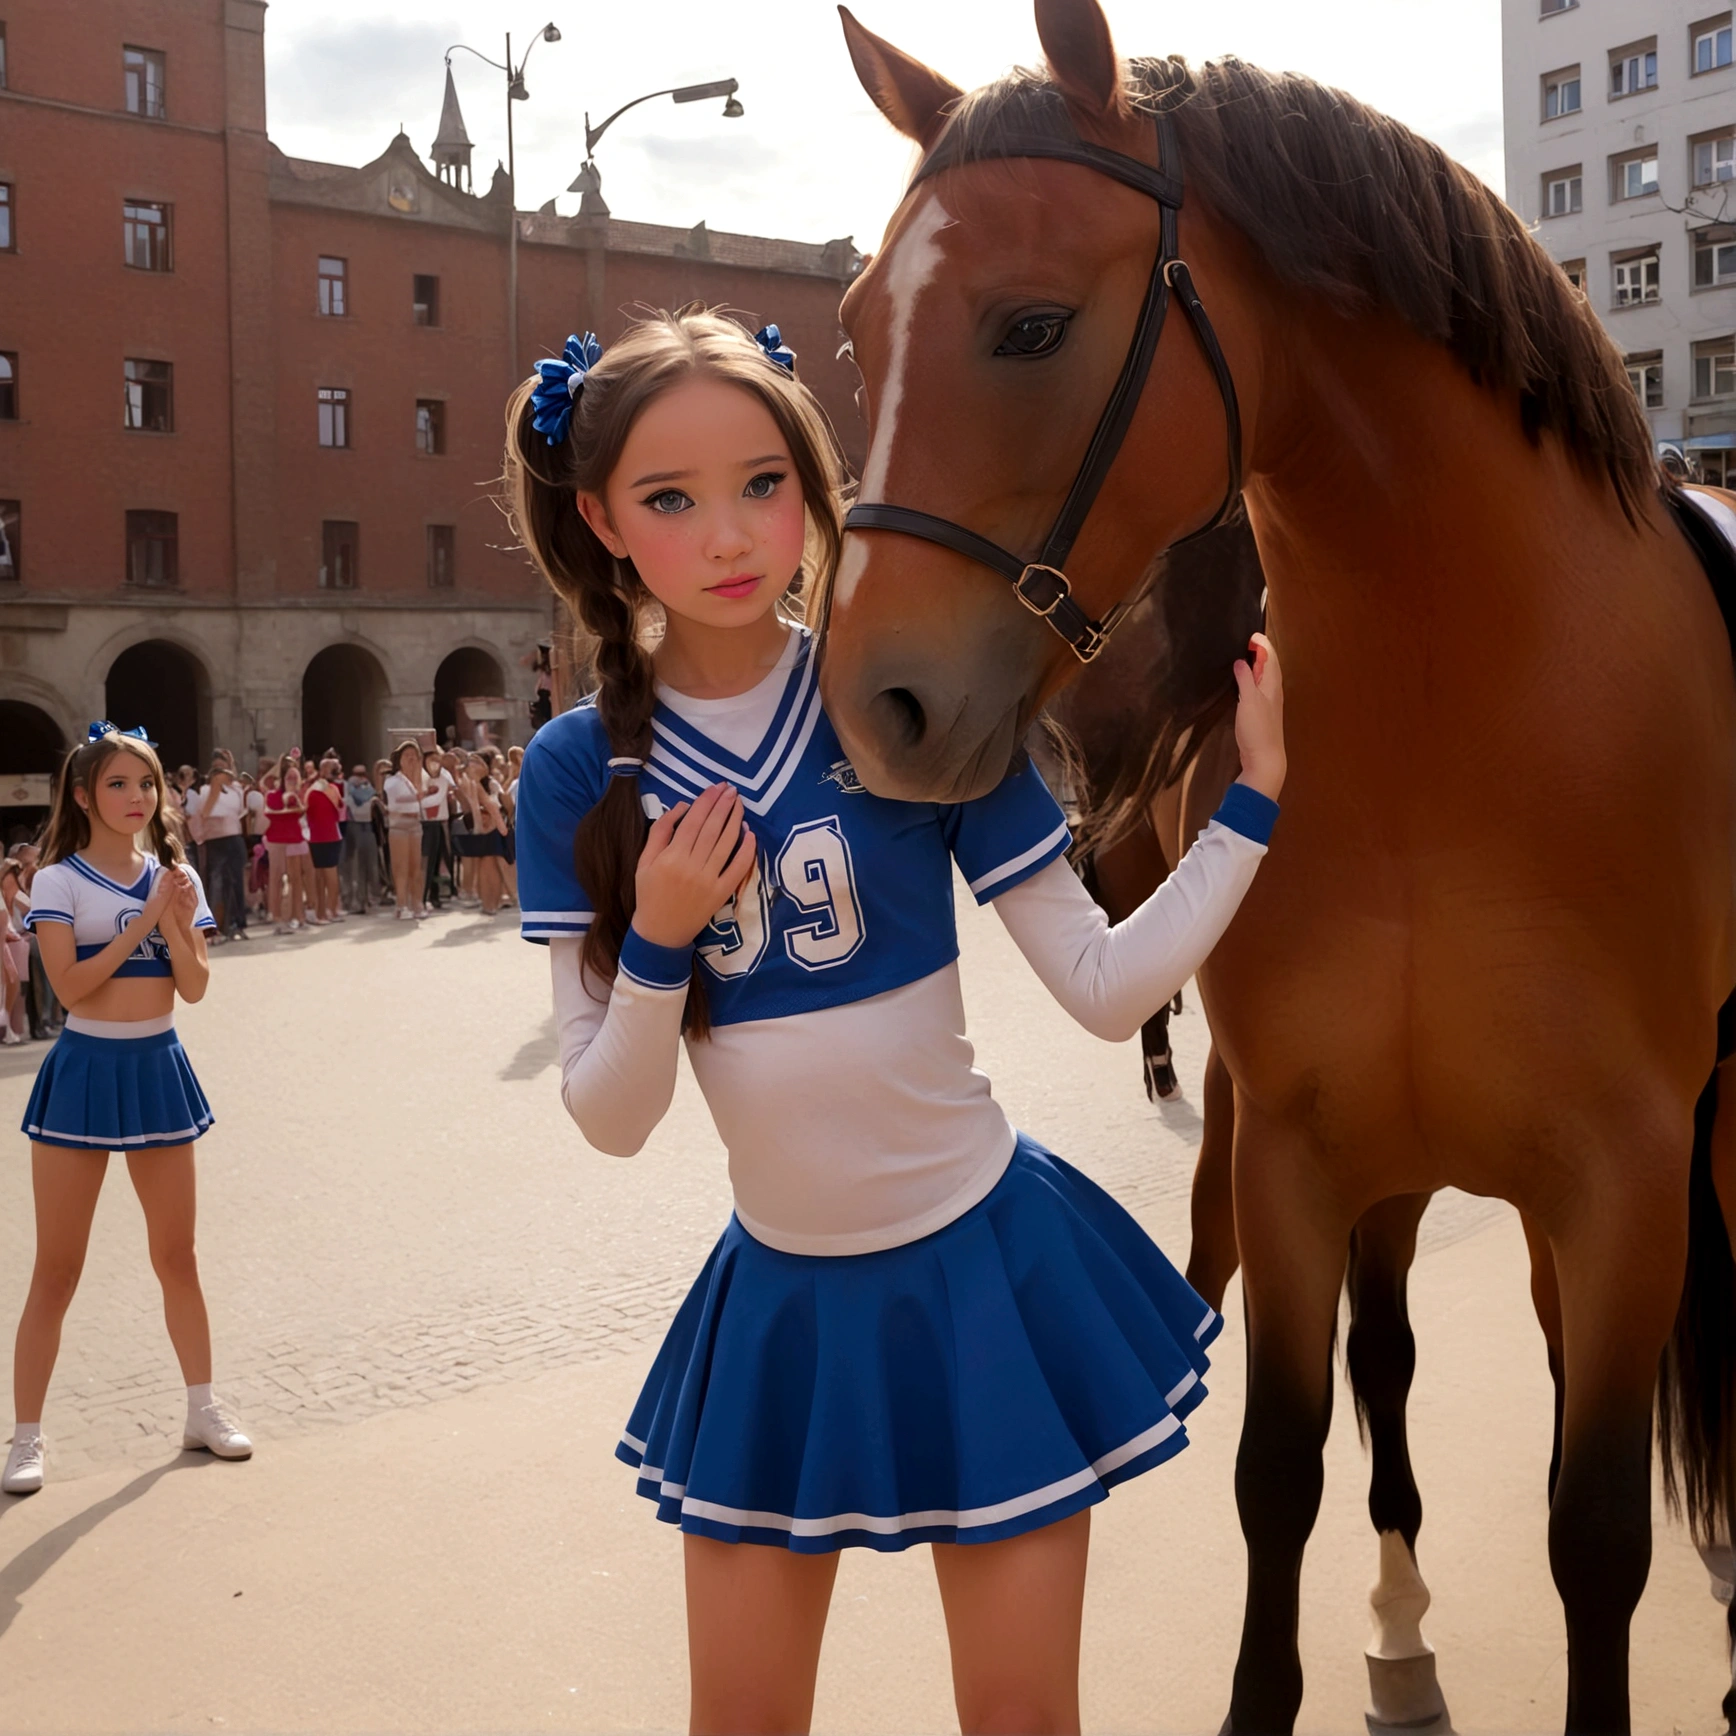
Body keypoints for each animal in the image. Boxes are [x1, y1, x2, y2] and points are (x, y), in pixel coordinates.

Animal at [812, 6, 1736, 1729]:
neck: (1450, 735)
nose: (875, 700)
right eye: (853, 336)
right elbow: (1284, 1468)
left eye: (1031, 325)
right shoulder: (1305, 1156)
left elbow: (1596, 1532)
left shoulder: (1627, 1177)